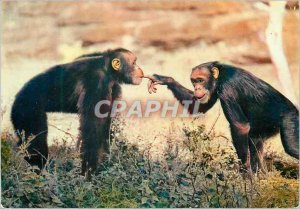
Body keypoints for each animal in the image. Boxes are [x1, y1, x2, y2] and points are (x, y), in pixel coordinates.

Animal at [11, 47, 147, 176]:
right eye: (134, 62)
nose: (140, 68)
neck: (108, 70)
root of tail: (18, 96)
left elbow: (106, 126)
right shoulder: (97, 83)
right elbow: (92, 129)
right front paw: (88, 173)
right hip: (26, 111)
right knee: (36, 142)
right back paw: (38, 171)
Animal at [149, 62, 298, 173]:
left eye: (200, 80)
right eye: (194, 81)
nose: (197, 88)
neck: (219, 77)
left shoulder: (228, 89)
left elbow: (240, 126)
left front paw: (245, 173)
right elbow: (200, 106)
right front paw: (164, 79)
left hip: (290, 119)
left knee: (292, 147)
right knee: (255, 141)